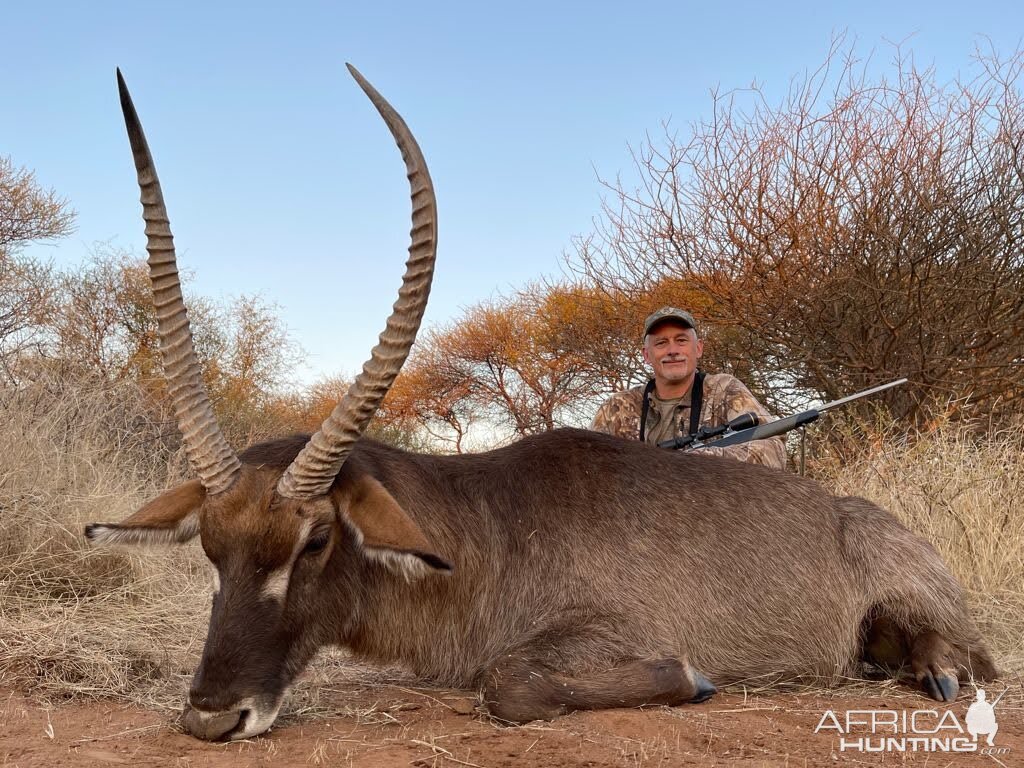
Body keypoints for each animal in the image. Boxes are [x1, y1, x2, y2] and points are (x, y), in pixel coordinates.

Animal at [83, 69, 995, 741]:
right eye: (210, 548)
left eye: (313, 541)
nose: (212, 716)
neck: (487, 531)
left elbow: (509, 682)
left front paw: (691, 680)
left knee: (967, 656)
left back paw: (937, 670)